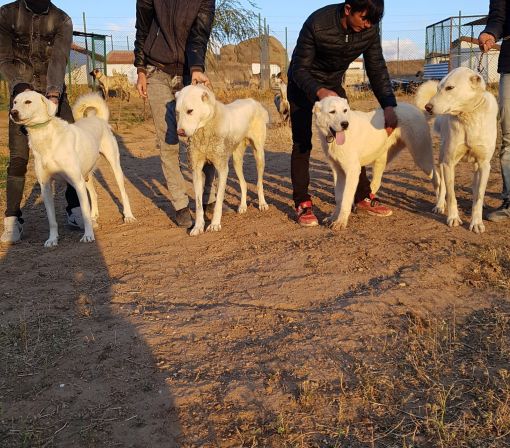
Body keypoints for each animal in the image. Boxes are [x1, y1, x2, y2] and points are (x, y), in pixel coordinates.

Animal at [9, 90, 135, 245]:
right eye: (15, 102)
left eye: (28, 102)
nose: (13, 112)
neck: (45, 138)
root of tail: (99, 119)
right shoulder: (45, 187)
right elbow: (52, 220)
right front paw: (52, 239)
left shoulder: (76, 182)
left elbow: (84, 212)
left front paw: (88, 235)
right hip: (86, 175)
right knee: (94, 194)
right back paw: (94, 216)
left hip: (114, 166)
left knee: (123, 192)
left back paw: (128, 216)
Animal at [175, 85, 268, 238]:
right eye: (177, 112)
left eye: (190, 111)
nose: (180, 132)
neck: (205, 130)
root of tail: (253, 101)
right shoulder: (196, 170)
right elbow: (199, 204)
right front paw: (198, 227)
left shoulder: (222, 170)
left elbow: (218, 200)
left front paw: (214, 224)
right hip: (236, 160)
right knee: (243, 184)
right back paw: (243, 206)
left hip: (259, 155)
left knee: (259, 183)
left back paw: (262, 203)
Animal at [312, 97, 440, 231]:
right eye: (332, 112)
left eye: (345, 110)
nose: (345, 124)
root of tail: (417, 109)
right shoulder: (338, 171)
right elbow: (339, 197)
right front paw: (333, 217)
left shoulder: (352, 171)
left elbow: (346, 198)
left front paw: (341, 221)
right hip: (383, 158)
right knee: (376, 183)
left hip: (421, 158)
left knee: (438, 178)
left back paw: (440, 206)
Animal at [416, 67, 496, 234]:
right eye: (438, 88)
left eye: (449, 88)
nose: (428, 107)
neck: (468, 116)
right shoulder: (449, 163)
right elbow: (451, 194)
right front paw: (453, 218)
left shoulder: (484, 164)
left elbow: (478, 196)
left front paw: (476, 222)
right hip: (442, 160)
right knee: (442, 186)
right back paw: (439, 205)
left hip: (476, 166)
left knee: (475, 186)